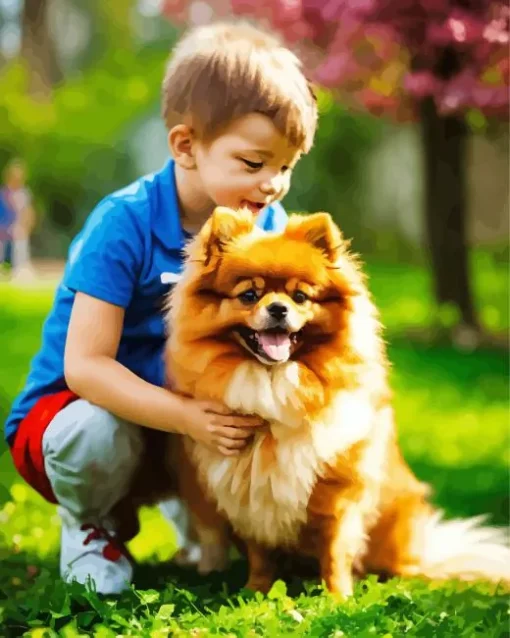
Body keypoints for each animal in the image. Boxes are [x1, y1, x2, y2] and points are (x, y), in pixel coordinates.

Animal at [164, 208, 510, 596]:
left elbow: (334, 549)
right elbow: (260, 553)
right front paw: (256, 591)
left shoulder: (337, 491)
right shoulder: (250, 495)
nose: (278, 308)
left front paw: (337, 596)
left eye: (300, 296)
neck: (274, 380)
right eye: (249, 295)